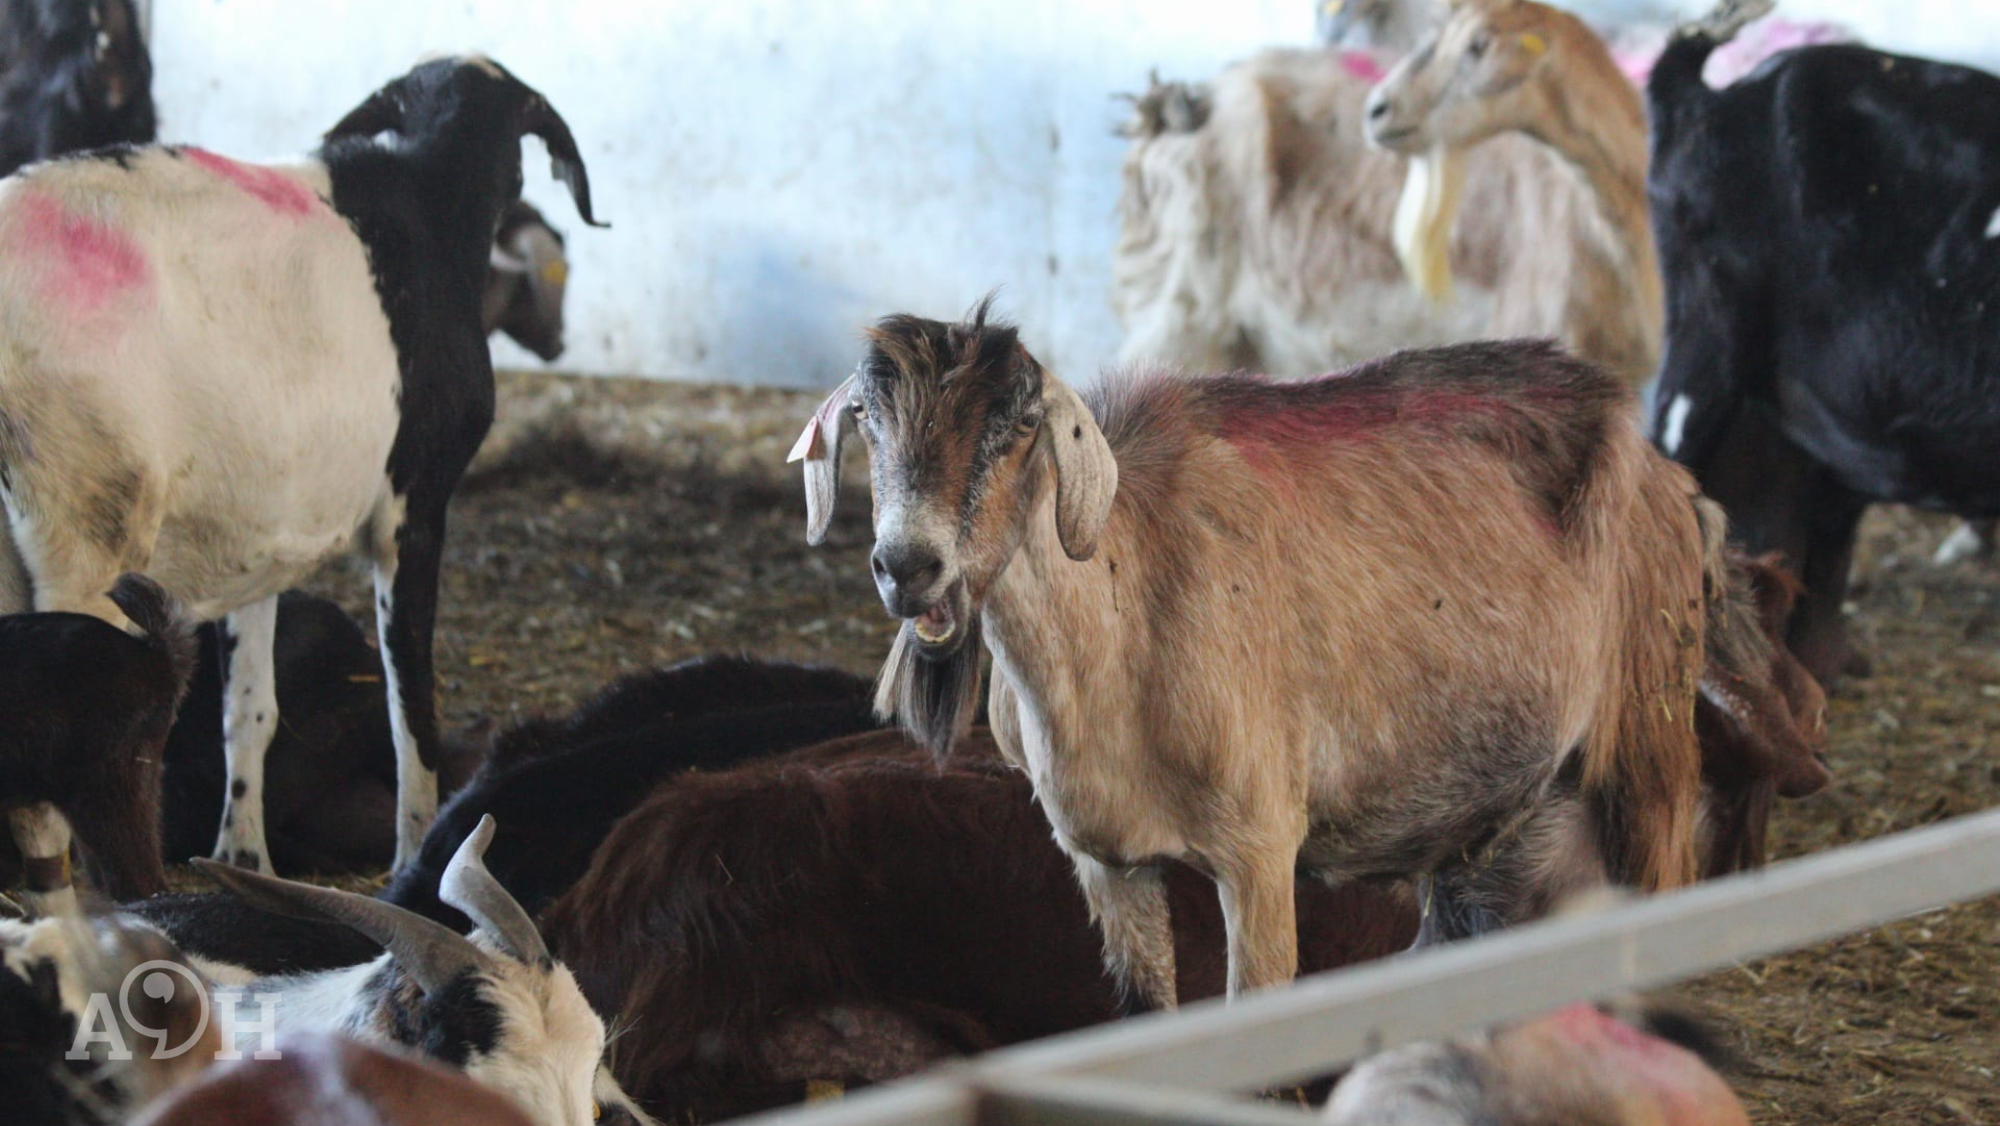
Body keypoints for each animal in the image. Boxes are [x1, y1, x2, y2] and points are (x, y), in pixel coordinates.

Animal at [794, 307, 1707, 1006]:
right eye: (867, 417)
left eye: (1019, 424)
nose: (909, 567)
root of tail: (1669, 481)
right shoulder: (1106, 861)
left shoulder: (1262, 852)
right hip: (1489, 817)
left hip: (1648, 761)